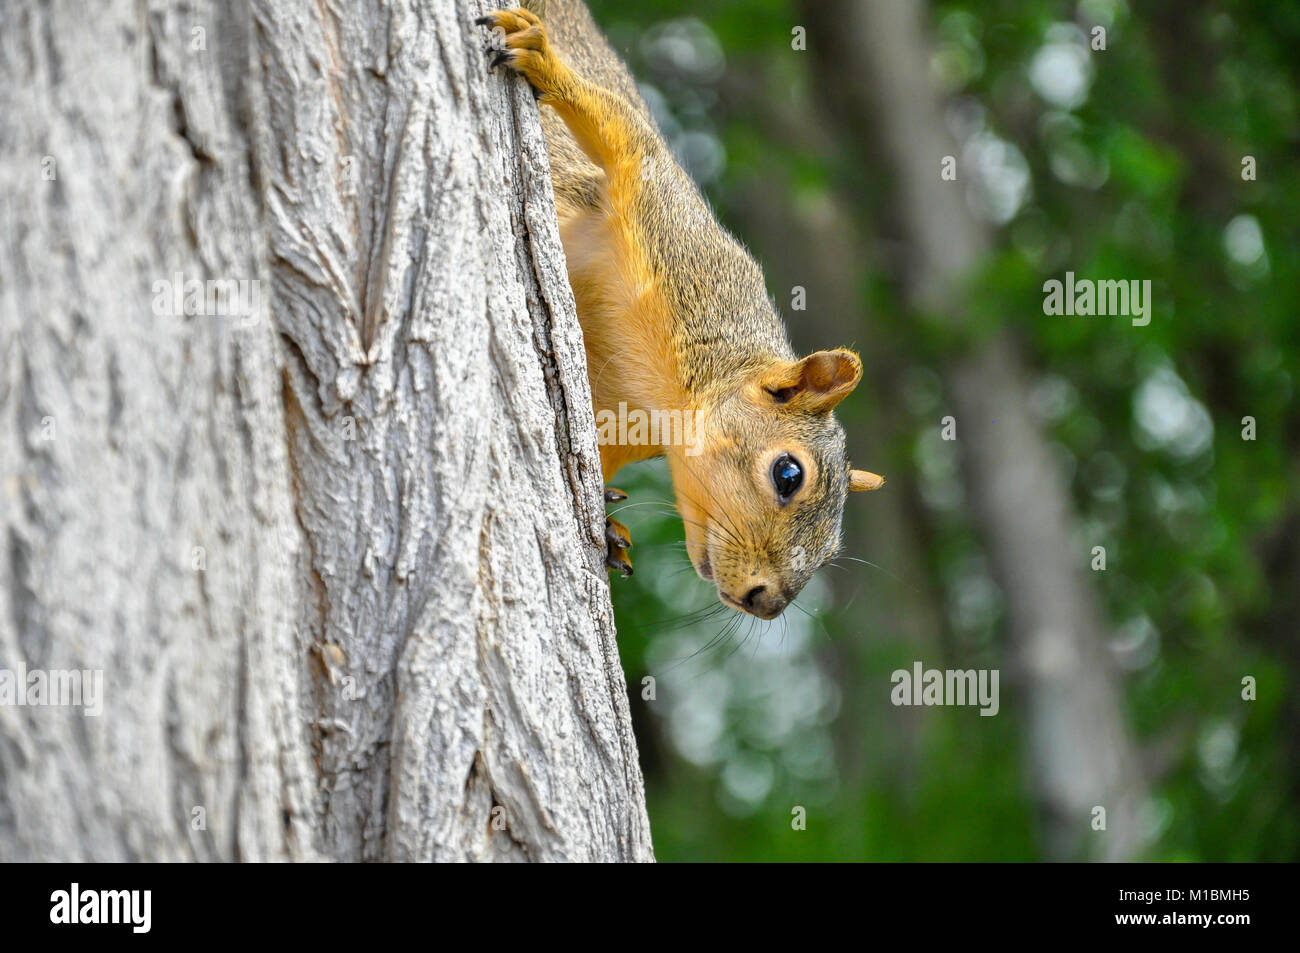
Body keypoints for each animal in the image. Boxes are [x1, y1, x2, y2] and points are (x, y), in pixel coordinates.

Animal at [478, 3, 883, 621]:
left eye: (832, 548)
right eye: (788, 473)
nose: (769, 603)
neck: (656, 400)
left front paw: (610, 526)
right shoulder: (670, 229)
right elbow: (621, 131)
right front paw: (541, 59)